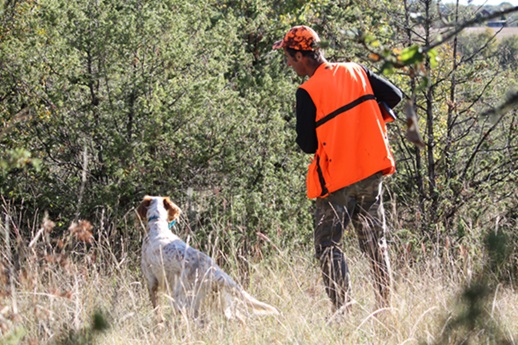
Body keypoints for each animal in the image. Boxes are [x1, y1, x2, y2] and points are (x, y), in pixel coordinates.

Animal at [136, 195, 278, 322]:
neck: (157, 224)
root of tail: (214, 270)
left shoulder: (152, 282)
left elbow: (157, 310)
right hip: (220, 300)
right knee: (238, 319)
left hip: (184, 299)